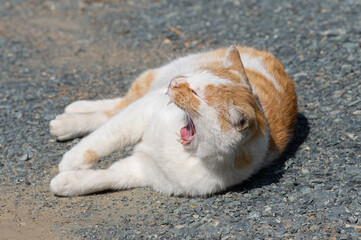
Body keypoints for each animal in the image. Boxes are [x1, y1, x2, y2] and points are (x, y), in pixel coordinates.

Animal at [49, 45, 296, 197]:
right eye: (192, 77)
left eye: (196, 93)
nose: (175, 82)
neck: (185, 150)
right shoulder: (142, 110)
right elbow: (103, 139)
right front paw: (72, 160)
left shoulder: (143, 170)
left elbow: (106, 177)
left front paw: (68, 182)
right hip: (151, 82)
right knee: (120, 105)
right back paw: (71, 116)